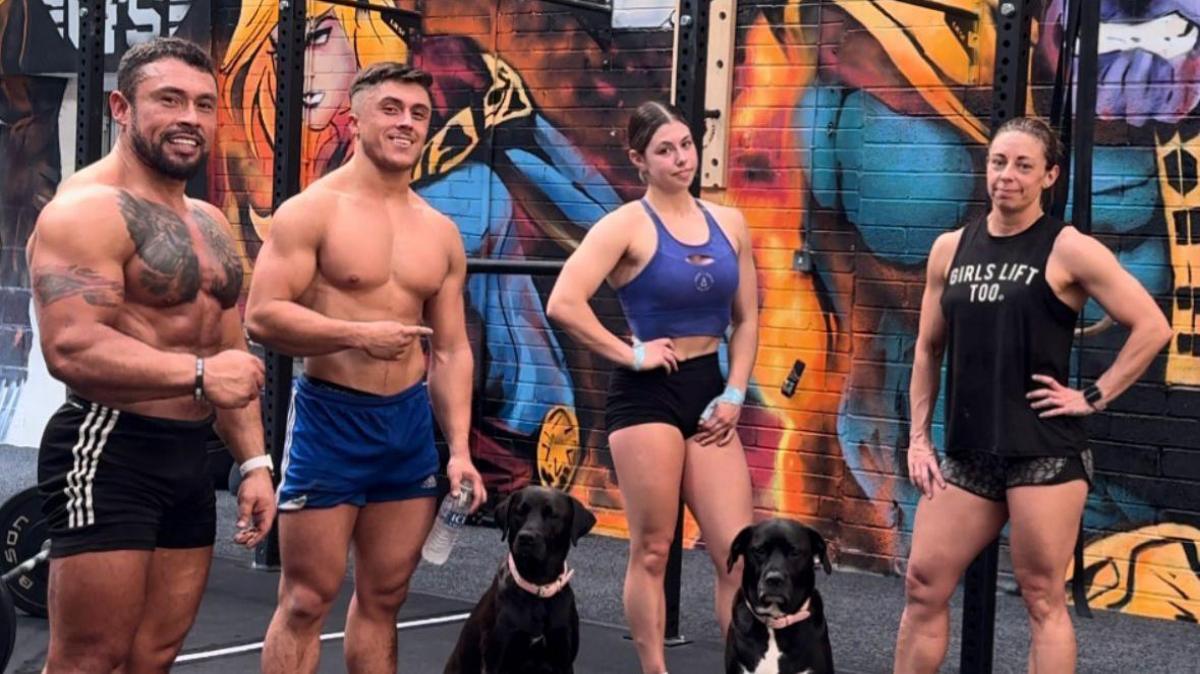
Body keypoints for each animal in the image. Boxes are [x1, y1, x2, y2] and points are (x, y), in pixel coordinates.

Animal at [446, 484, 595, 671]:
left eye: (552, 514)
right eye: (519, 511)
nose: (526, 538)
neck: (538, 586)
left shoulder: (563, 660)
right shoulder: (496, 656)